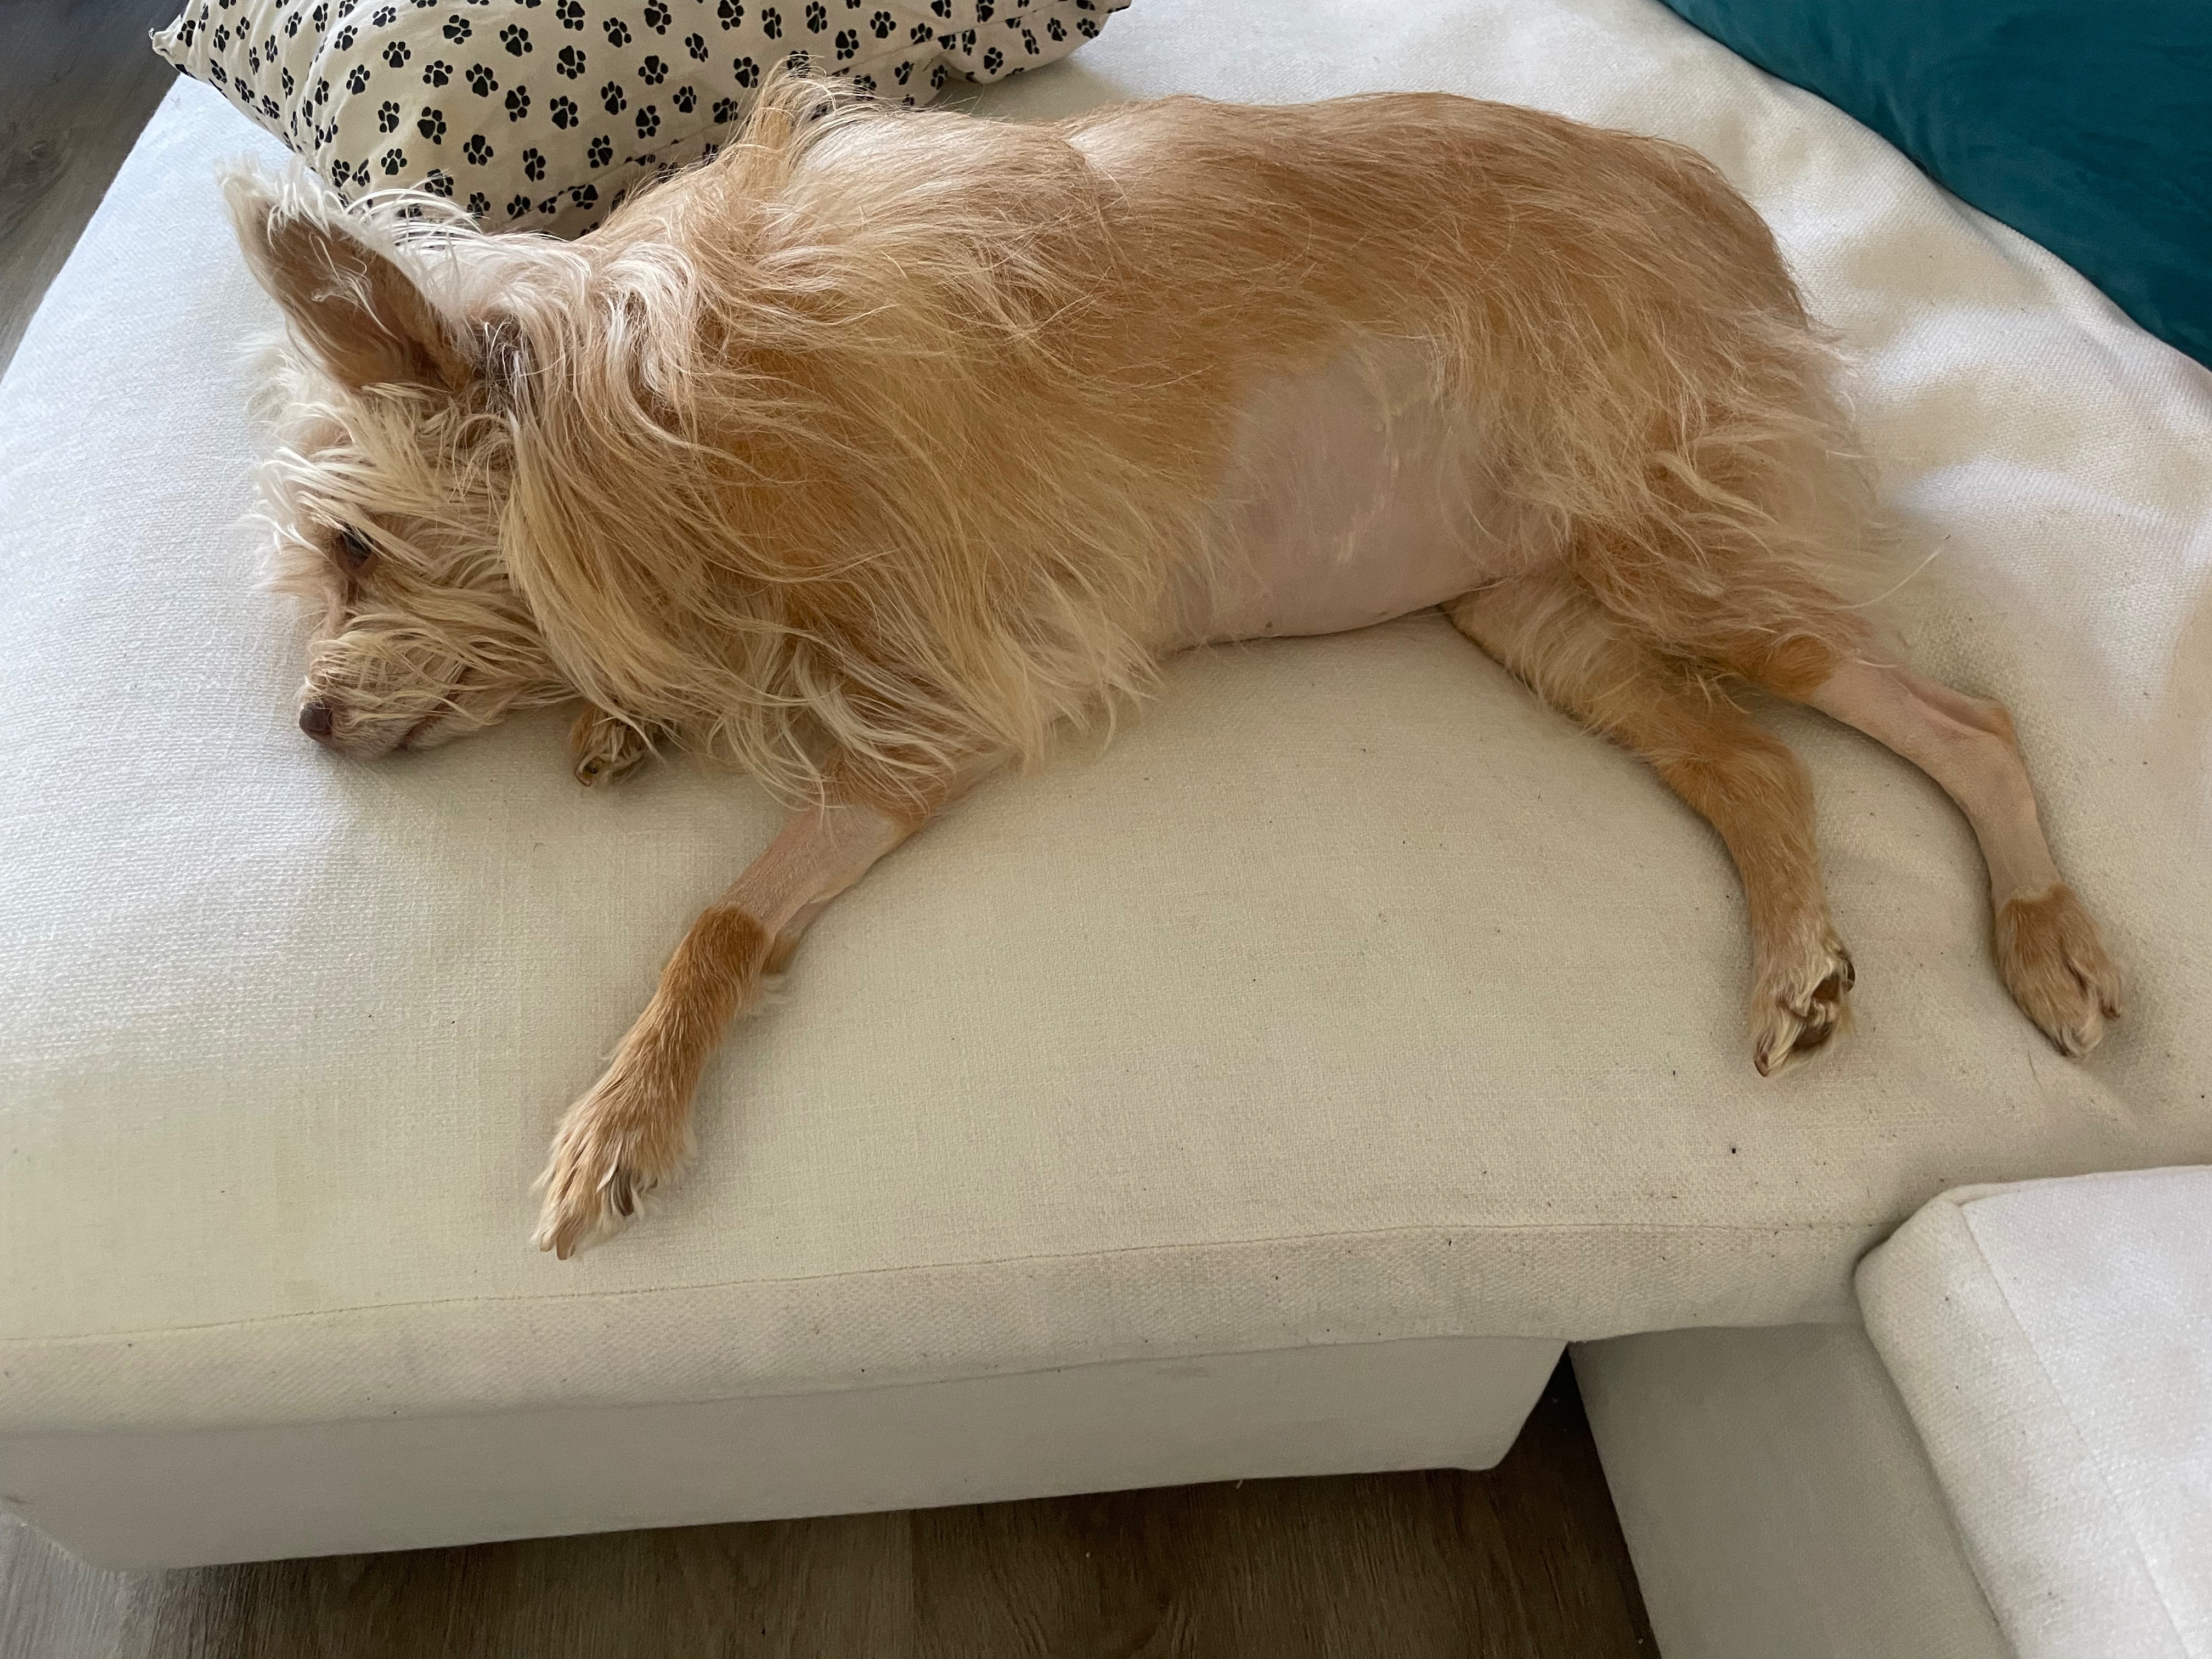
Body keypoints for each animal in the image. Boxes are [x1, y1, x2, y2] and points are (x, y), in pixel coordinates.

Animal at [227, 76, 2122, 1257]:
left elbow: (708, 918)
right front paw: (625, 725)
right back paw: (1799, 959)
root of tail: (1722, 208)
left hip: (1686, 567)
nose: (306, 722)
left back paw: (2045, 936)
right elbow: (732, 912)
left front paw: (620, 1119)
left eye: (354, 551)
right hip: (1551, 620)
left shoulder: (941, 721)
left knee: (1968, 717)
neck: (669, 426)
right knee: (1759, 765)